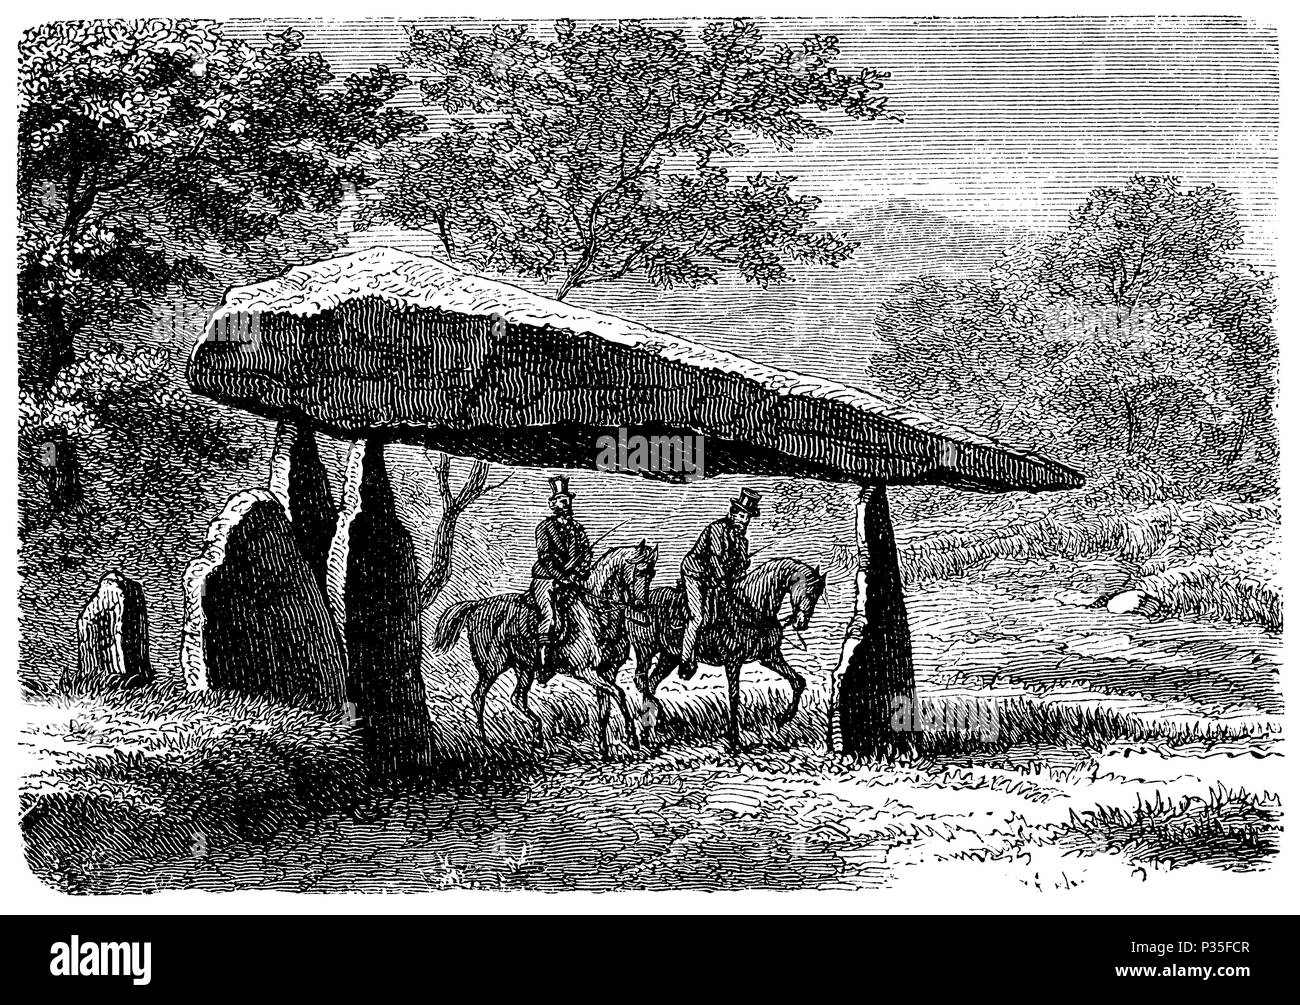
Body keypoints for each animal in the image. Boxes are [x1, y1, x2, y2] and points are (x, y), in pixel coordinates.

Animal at [431, 546, 660, 759]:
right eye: (639, 571)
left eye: (652, 573)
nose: (643, 607)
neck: (597, 616)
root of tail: (477, 605)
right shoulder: (587, 672)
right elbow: (620, 695)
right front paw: (632, 737)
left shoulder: (607, 673)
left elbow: (606, 709)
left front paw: (605, 749)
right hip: (492, 667)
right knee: (479, 697)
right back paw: (485, 742)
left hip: (524, 668)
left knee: (517, 698)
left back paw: (539, 738)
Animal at [631, 556, 832, 754]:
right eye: (810, 592)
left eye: (818, 595)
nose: (801, 624)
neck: (752, 606)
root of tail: (637, 605)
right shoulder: (733, 662)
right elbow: (734, 697)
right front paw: (734, 741)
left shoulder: (770, 657)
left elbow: (798, 681)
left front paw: (784, 717)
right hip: (645, 651)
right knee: (642, 681)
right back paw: (653, 727)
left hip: (668, 657)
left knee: (651, 683)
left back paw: (652, 729)